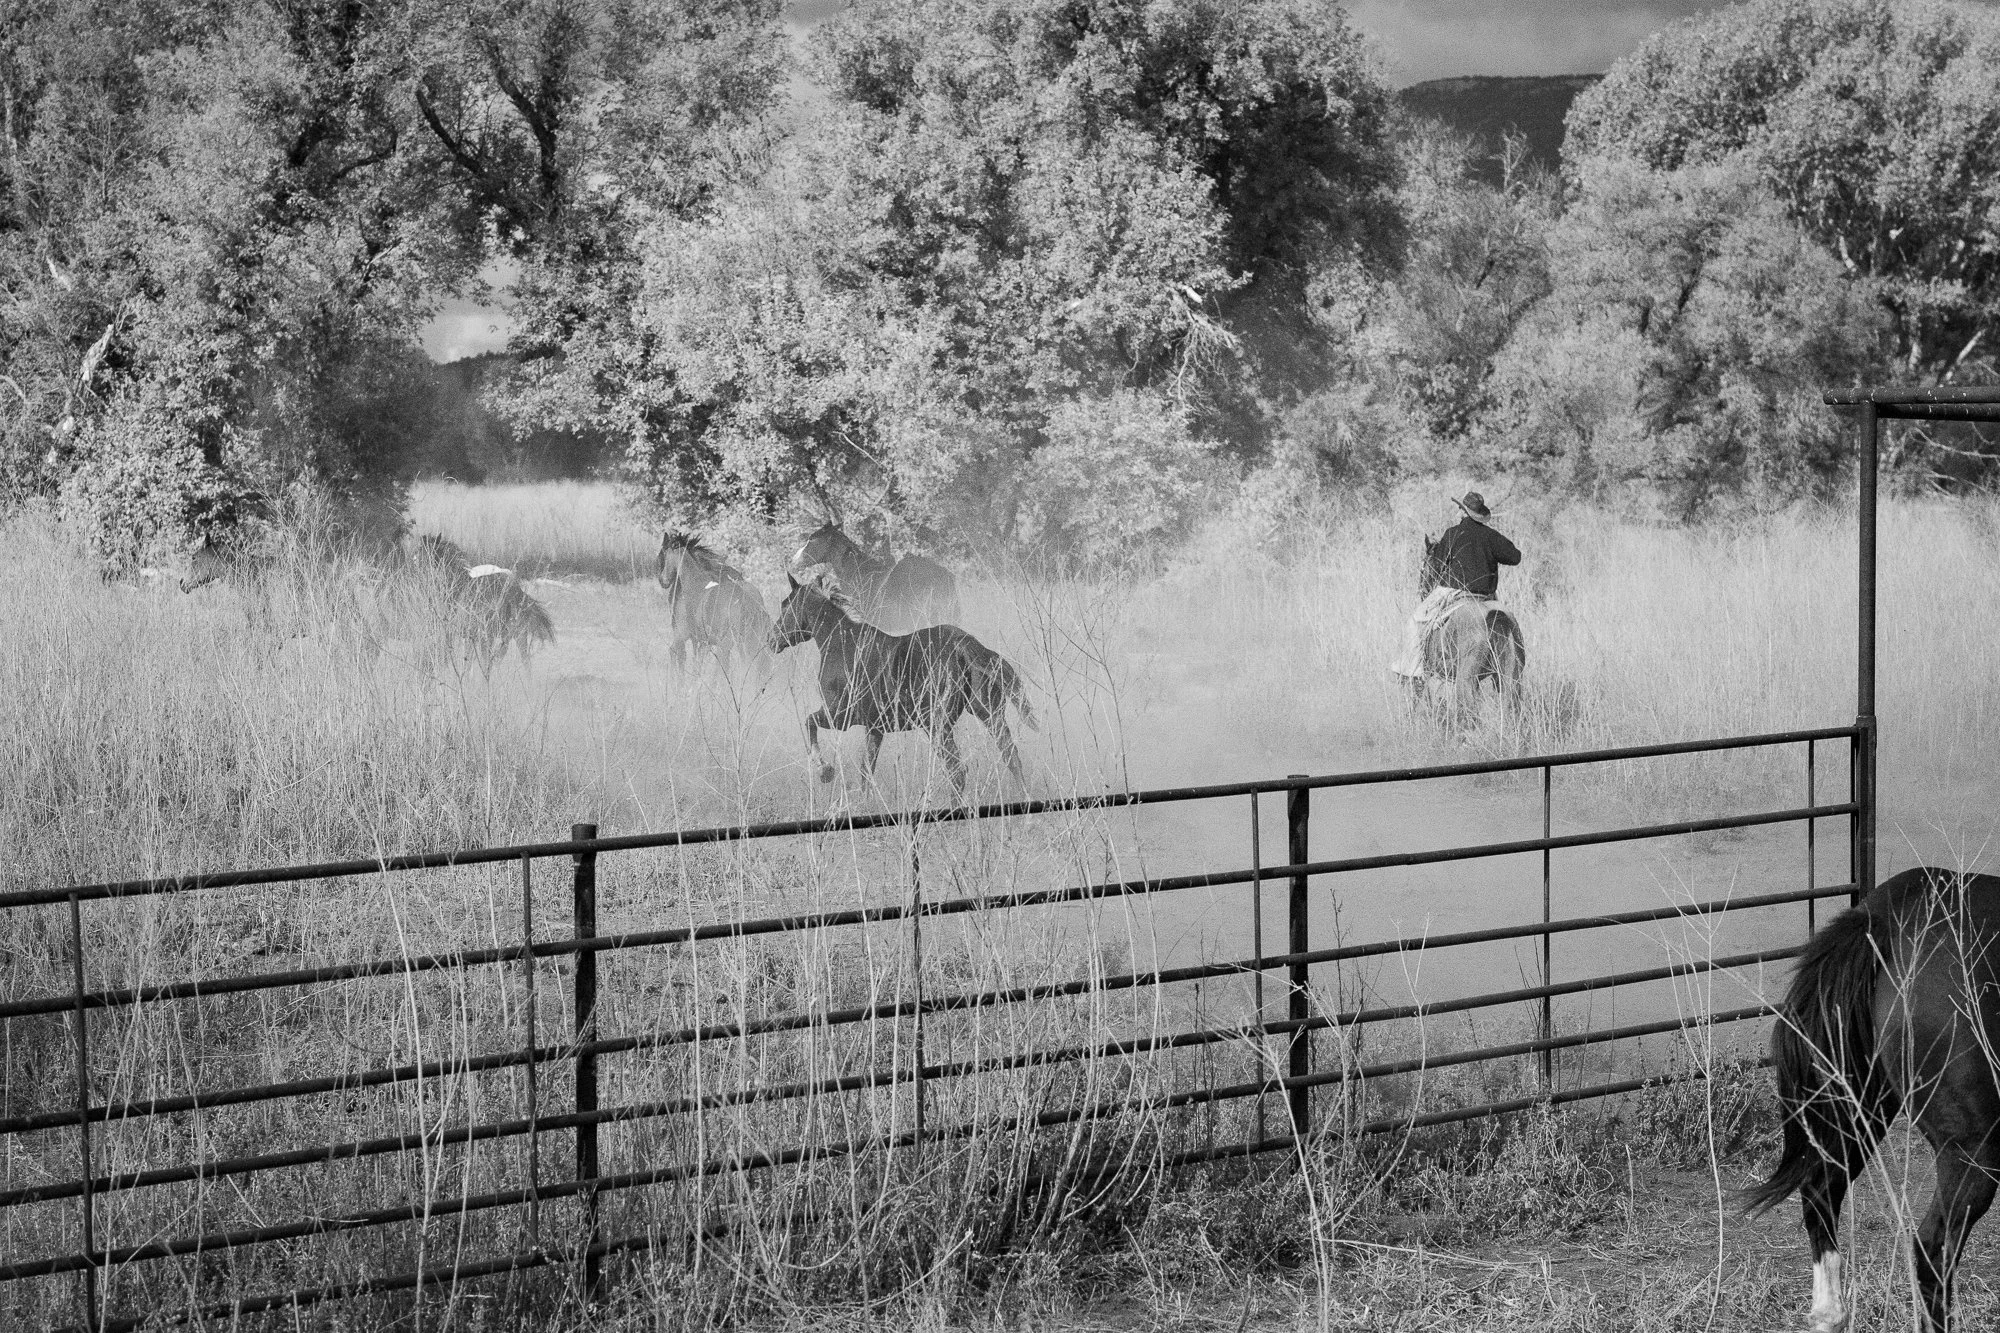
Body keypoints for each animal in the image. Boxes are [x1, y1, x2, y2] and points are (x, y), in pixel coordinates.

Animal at [656, 530, 772, 674]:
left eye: (663, 554)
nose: (663, 580)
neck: (696, 581)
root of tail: (750, 607)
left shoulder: (690, 636)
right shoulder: (703, 642)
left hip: (728, 643)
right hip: (754, 642)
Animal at [767, 574, 1034, 795]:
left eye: (785, 605)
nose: (772, 639)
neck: (840, 645)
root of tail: (964, 645)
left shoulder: (840, 715)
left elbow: (809, 722)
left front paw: (825, 770)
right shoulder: (875, 727)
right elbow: (866, 771)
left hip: (937, 725)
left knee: (957, 770)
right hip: (988, 713)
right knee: (1011, 757)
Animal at [1746, 867, 2000, 1333]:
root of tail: (1884, 916)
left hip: (1863, 1108)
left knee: (1821, 1192)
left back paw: (1830, 1314)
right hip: (1972, 1149)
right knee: (1933, 1252)